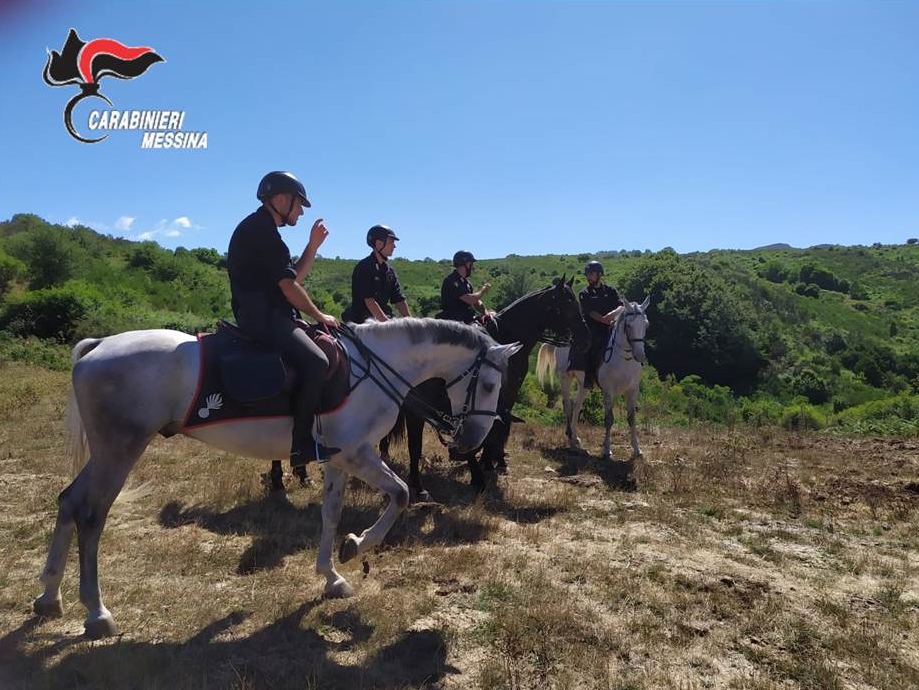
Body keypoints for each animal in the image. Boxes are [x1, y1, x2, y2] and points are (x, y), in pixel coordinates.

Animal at [32, 314, 520, 636]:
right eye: (490, 385)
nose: (470, 441)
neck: (375, 367)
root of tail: (98, 346)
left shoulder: (338, 458)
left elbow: (330, 514)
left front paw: (331, 574)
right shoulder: (359, 454)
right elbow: (400, 495)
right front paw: (356, 546)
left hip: (106, 453)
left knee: (68, 501)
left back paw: (49, 596)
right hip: (120, 450)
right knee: (91, 514)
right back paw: (96, 612)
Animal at [536, 298, 652, 460]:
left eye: (646, 324)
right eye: (628, 326)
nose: (640, 355)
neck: (624, 359)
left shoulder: (632, 391)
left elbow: (631, 418)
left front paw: (637, 450)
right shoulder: (608, 391)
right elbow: (609, 420)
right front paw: (607, 450)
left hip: (583, 384)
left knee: (576, 405)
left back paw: (576, 437)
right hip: (565, 378)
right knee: (567, 405)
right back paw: (570, 437)